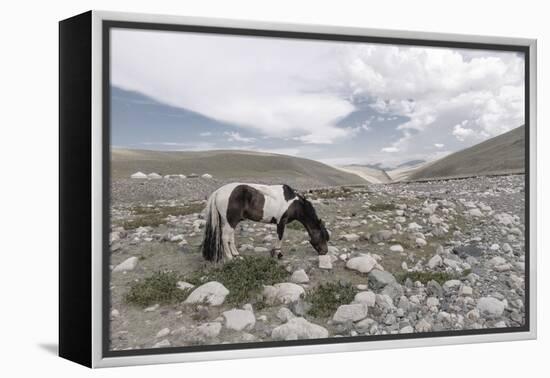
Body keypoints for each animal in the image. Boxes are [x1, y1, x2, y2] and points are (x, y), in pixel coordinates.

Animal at [203, 184, 332, 262]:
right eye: (322, 236)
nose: (325, 252)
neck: (294, 203)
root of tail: (218, 192)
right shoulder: (281, 222)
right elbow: (280, 237)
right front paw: (278, 254)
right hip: (230, 221)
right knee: (225, 238)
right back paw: (230, 257)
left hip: (231, 222)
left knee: (230, 238)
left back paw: (236, 254)